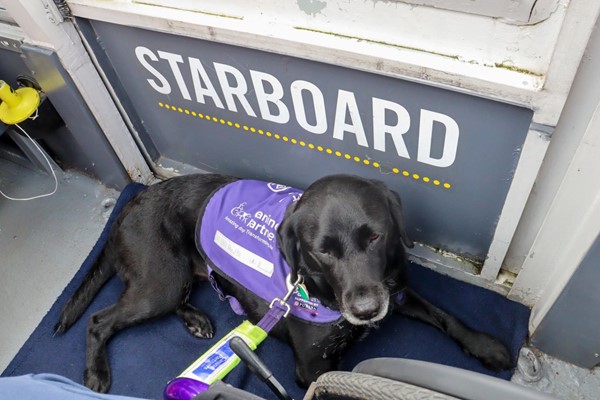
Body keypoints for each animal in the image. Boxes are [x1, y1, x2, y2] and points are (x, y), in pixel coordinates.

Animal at [55, 173, 510, 394]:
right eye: (323, 251)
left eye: (375, 237)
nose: (366, 311)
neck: (323, 292)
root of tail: (128, 205)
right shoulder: (311, 369)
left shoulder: (393, 287)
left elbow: (447, 317)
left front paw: (486, 345)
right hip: (159, 283)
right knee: (100, 320)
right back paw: (96, 371)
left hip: (177, 279)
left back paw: (197, 319)